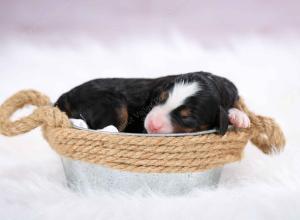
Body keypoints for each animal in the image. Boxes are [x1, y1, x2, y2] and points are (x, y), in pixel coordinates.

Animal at [55, 71, 250, 135]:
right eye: (158, 100)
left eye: (188, 118)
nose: (151, 124)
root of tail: (66, 95)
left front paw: (240, 117)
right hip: (113, 105)